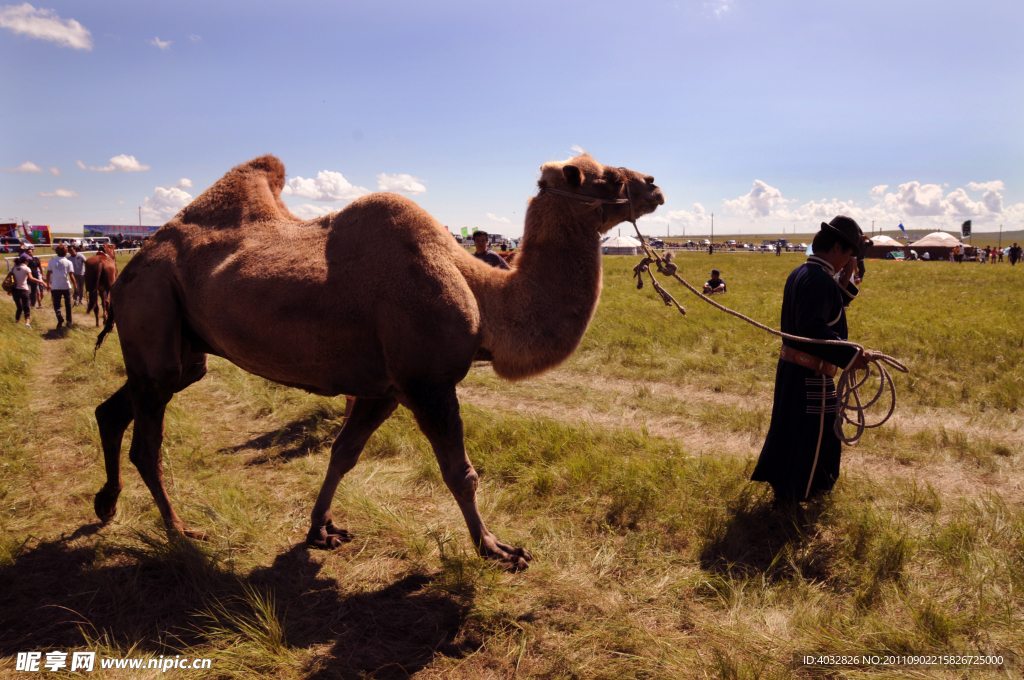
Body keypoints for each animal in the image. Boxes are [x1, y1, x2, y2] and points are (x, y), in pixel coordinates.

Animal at [90, 152, 663, 569]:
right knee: (147, 444)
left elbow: (343, 453)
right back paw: (179, 531)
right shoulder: (427, 384)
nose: (654, 183)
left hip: (181, 353)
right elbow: (461, 473)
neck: (484, 298)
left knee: (114, 409)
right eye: (607, 178)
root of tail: (131, 264)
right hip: (152, 311)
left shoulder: (383, 389)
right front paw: (496, 550)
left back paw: (106, 504)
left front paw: (320, 529)